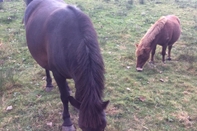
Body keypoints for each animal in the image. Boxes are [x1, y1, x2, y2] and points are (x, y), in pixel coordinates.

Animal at [24, 0, 109, 130]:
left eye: (103, 126)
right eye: (82, 127)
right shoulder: (57, 74)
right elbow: (64, 97)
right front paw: (67, 121)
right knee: (46, 68)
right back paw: (49, 84)